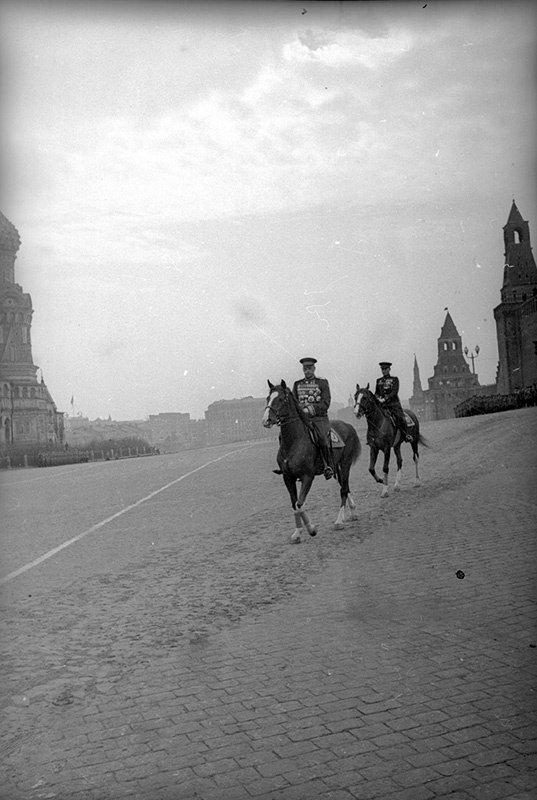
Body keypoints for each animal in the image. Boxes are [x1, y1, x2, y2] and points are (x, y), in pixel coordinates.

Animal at [260, 382, 360, 544]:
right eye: (268, 398)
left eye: (280, 399)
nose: (266, 420)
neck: (294, 442)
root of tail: (348, 426)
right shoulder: (288, 478)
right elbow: (294, 505)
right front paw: (297, 533)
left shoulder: (307, 477)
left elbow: (300, 504)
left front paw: (311, 529)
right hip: (336, 467)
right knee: (345, 486)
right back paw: (352, 512)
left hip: (345, 464)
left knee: (343, 490)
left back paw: (339, 521)